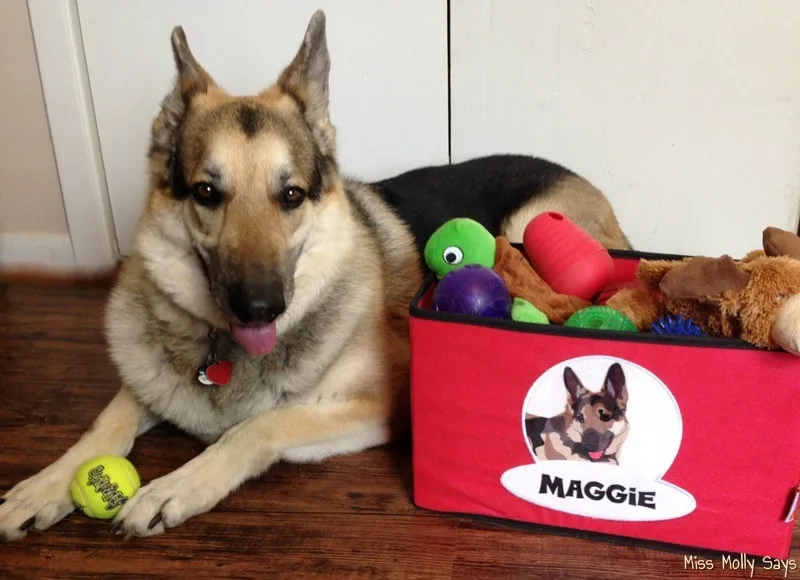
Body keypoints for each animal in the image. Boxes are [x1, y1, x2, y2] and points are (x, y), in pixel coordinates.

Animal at [0, 10, 631, 540]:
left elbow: (259, 426)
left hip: (529, 224)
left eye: (292, 195)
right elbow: (104, 424)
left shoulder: (379, 404)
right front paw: (43, 485)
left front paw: (176, 486)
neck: (221, 350)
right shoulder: (148, 380)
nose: (260, 307)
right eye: (206, 192)